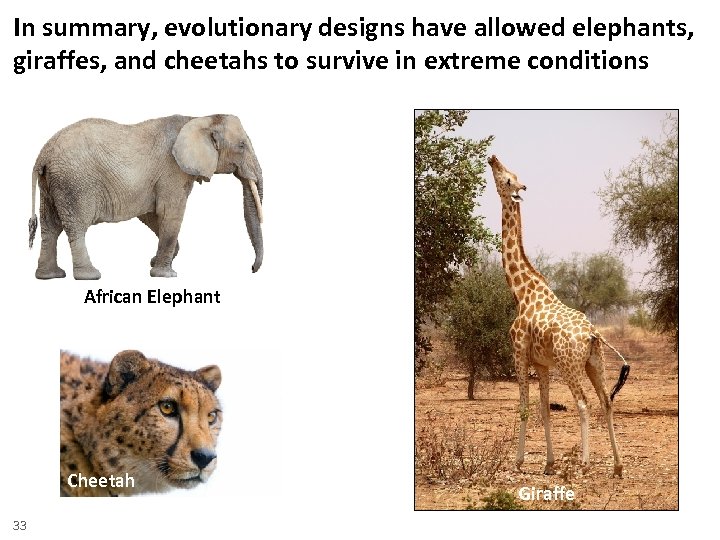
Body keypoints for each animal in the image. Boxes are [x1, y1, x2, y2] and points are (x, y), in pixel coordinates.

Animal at [28, 114, 263, 279]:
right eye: (242, 146)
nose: (251, 268)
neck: (199, 118)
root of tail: (43, 155)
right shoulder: (173, 171)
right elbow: (171, 214)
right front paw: (166, 274)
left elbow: (152, 214)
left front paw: (154, 262)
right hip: (75, 183)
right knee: (76, 227)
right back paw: (90, 276)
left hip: (51, 184)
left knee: (50, 227)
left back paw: (50, 276)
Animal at [487, 155, 629, 478]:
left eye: (508, 179)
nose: (492, 158)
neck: (521, 292)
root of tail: (593, 333)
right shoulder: (541, 364)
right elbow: (544, 409)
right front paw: (549, 464)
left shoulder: (519, 353)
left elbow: (525, 407)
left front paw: (518, 461)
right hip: (595, 363)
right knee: (606, 401)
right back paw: (617, 466)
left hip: (570, 365)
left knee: (583, 403)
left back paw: (585, 463)